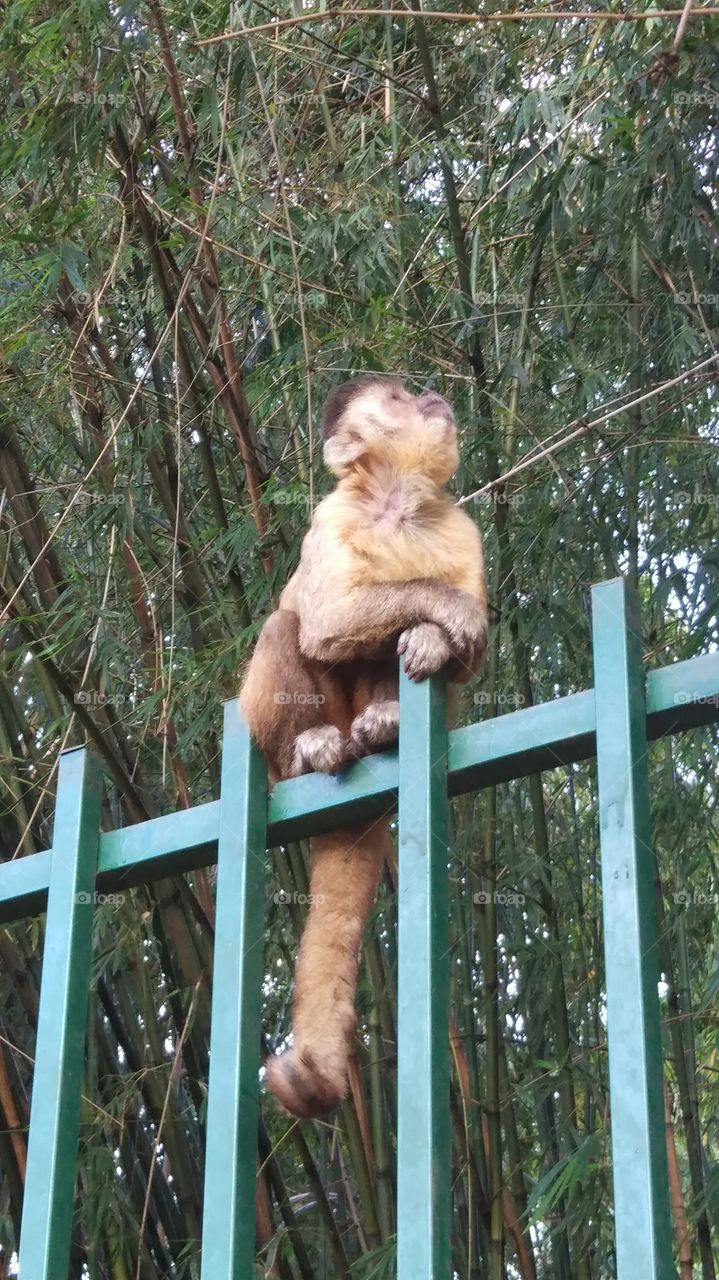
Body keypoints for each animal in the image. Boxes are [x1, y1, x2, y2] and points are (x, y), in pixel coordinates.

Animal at [238, 374, 487, 1119]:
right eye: (398, 399)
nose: (431, 394)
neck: (396, 504)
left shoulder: (460, 524)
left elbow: (462, 659)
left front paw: (437, 636)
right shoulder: (333, 515)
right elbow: (324, 620)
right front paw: (446, 611)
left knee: (392, 651)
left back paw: (385, 720)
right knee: (288, 624)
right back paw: (309, 749)